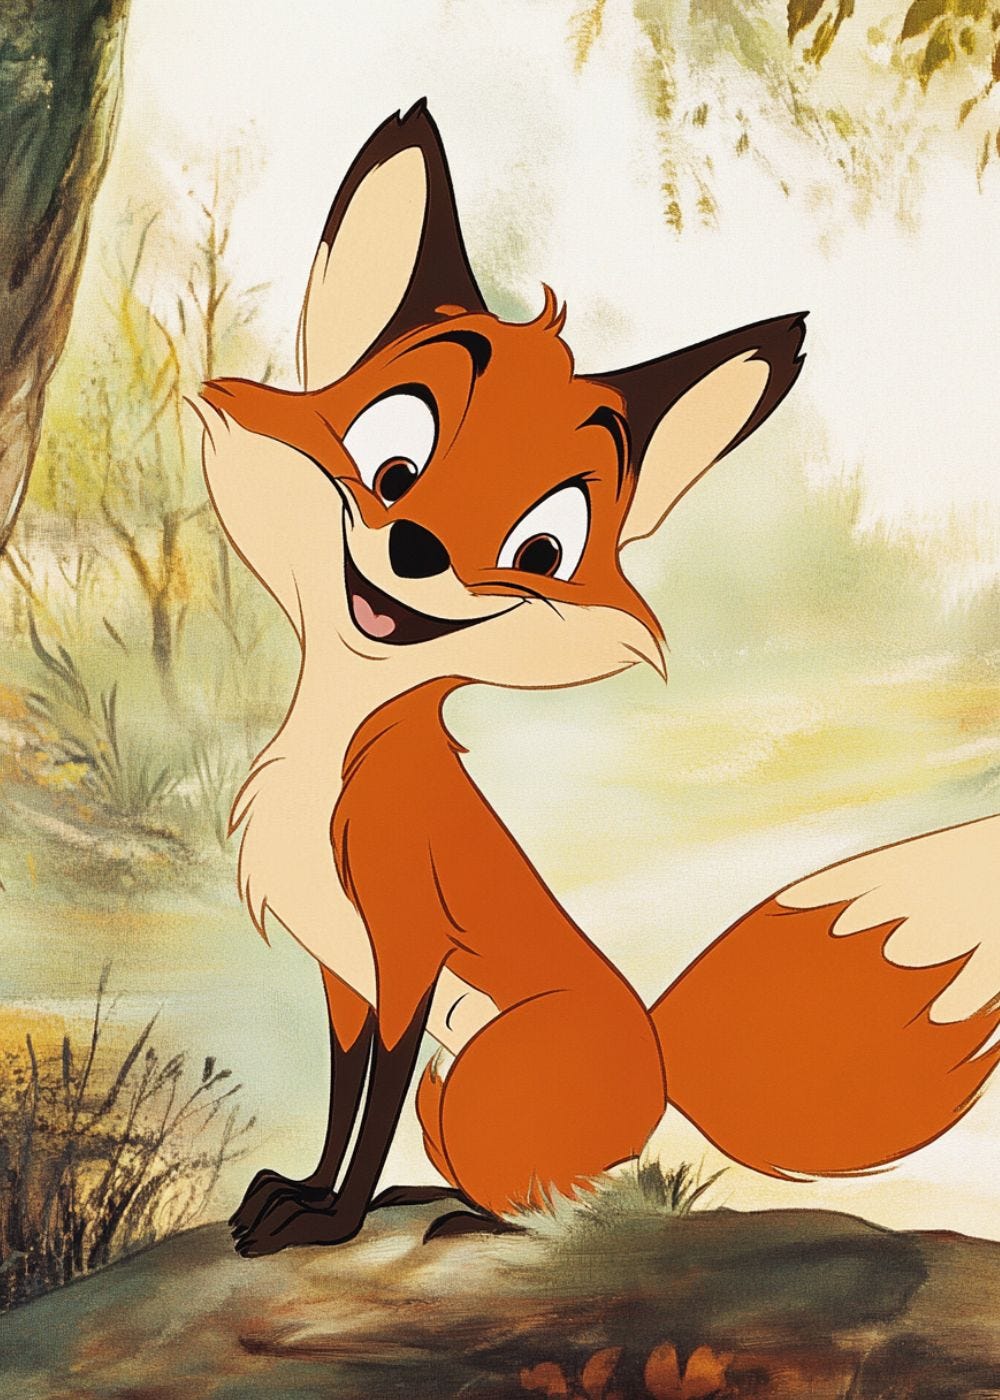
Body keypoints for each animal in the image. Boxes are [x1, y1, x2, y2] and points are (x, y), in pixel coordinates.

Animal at [192, 101, 1000, 1256]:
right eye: (394, 466)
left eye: (543, 549)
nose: (417, 550)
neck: (337, 751)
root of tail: (658, 1066)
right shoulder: (344, 969)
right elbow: (344, 1101)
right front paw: (307, 1190)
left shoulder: (405, 947)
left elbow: (370, 1106)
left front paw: (330, 1219)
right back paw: (424, 1200)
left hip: (478, 1080)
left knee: (554, 1193)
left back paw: (470, 1222)